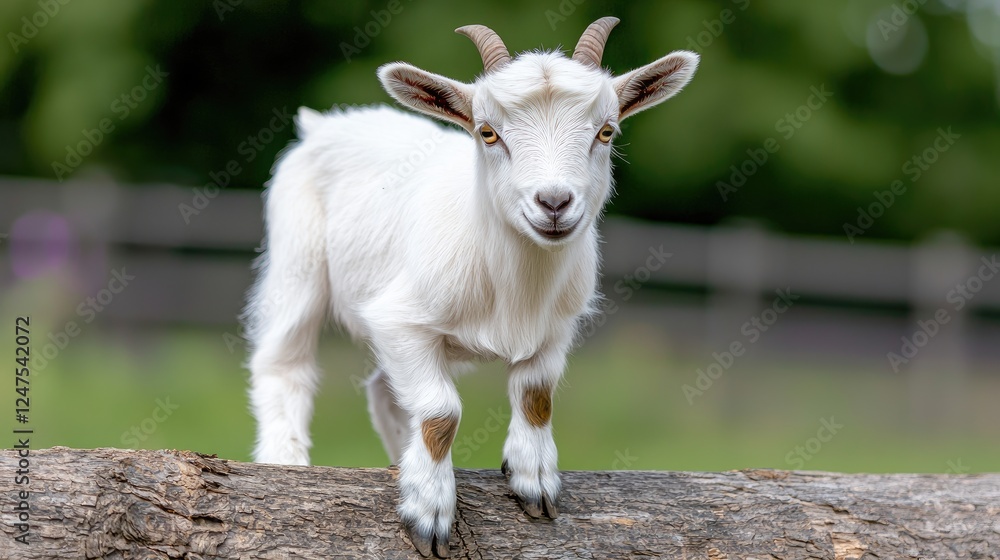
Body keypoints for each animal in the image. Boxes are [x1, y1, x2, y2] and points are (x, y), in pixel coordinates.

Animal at [245, 17, 698, 558]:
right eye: (488, 132)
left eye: (606, 131)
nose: (554, 203)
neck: (516, 284)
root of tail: (323, 124)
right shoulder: (399, 319)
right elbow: (442, 412)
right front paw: (430, 508)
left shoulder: (558, 327)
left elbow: (536, 395)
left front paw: (533, 477)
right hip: (298, 258)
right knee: (283, 360)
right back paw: (285, 460)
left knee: (382, 390)